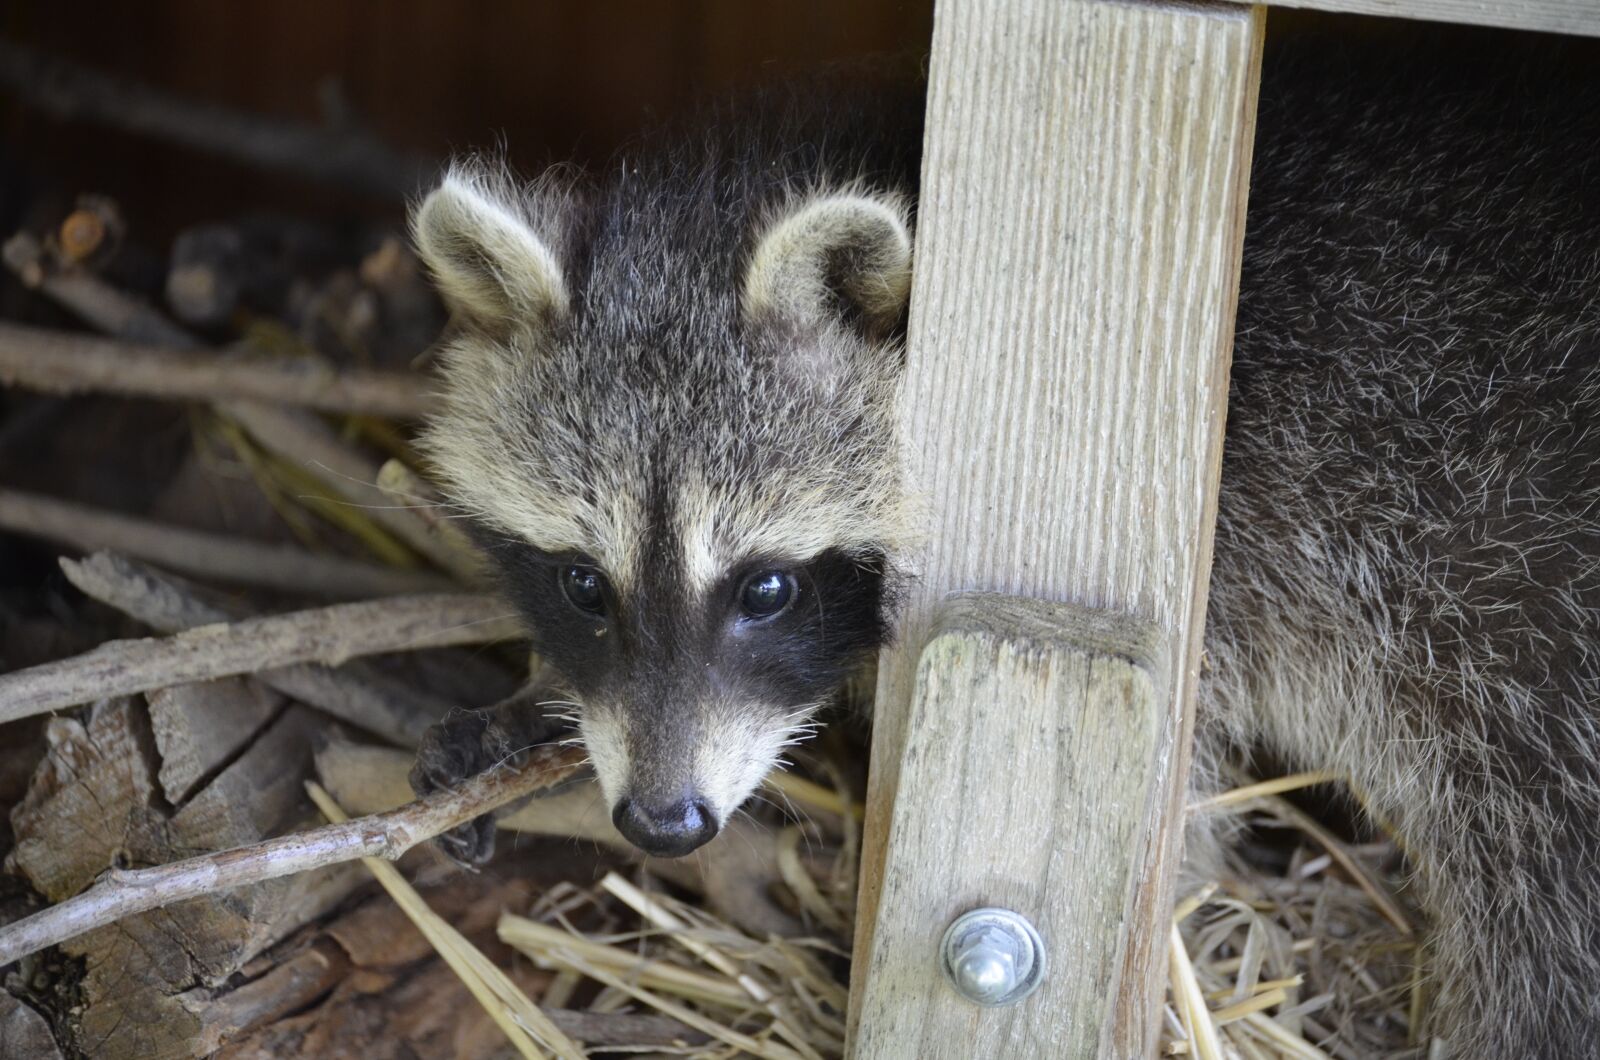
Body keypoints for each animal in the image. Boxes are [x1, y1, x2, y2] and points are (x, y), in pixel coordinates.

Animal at [408, 42, 1600, 1057]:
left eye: (769, 587)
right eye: (581, 584)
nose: (662, 821)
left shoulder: (1237, 563)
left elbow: (1177, 825)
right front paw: (527, 707)